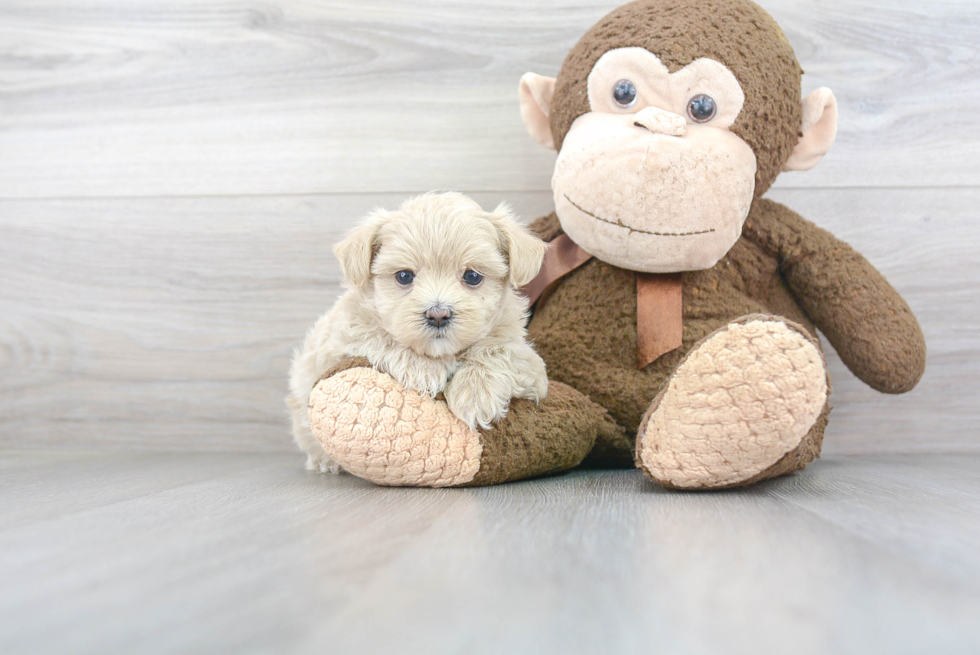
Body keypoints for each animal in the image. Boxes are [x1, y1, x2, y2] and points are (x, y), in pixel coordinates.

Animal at [290, 192, 552, 474]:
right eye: (404, 276)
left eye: (472, 276)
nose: (438, 315)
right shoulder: (340, 338)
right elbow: (378, 334)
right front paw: (424, 368)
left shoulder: (525, 357)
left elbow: (500, 349)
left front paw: (476, 393)